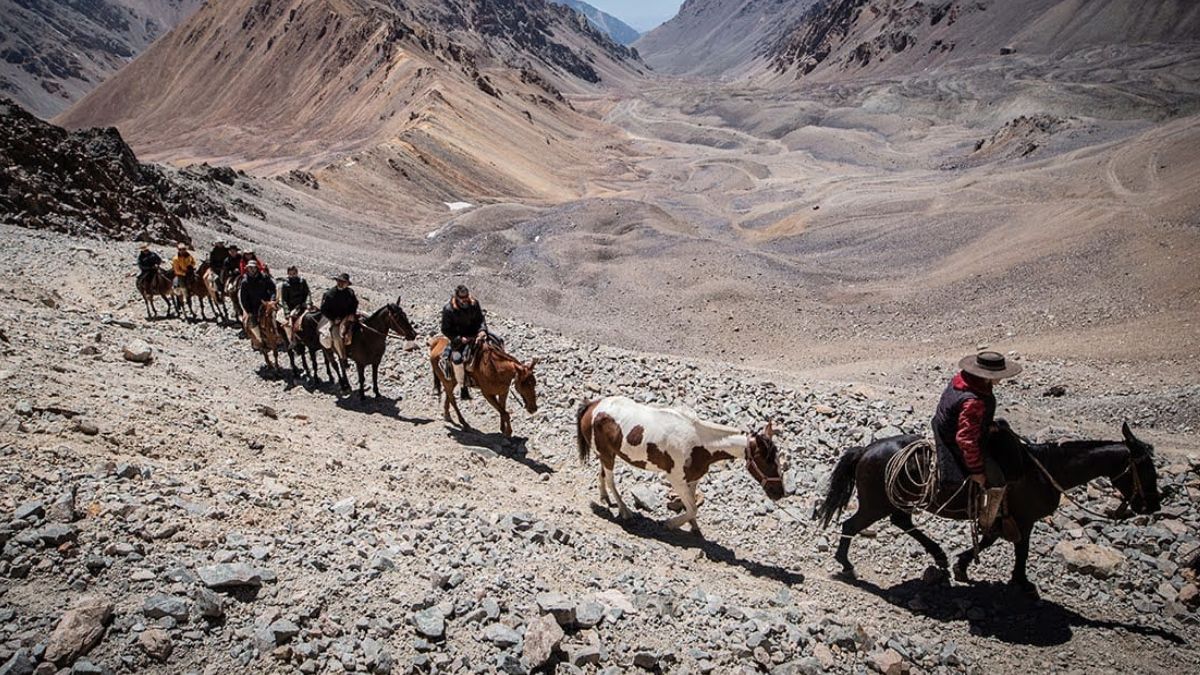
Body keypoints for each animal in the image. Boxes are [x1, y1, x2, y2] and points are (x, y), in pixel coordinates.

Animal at [573, 393, 782, 530]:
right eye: (767, 462)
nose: (779, 492)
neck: (700, 444)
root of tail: (593, 405)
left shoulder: (692, 478)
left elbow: (692, 506)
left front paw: (693, 527)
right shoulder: (675, 480)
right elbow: (692, 509)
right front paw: (670, 524)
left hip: (606, 453)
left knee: (602, 474)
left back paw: (605, 498)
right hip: (607, 455)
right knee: (610, 480)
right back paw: (625, 511)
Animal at [816, 417, 1161, 595]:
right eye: (1145, 468)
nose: (1153, 506)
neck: (1045, 469)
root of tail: (865, 450)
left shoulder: (1004, 514)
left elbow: (992, 539)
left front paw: (962, 565)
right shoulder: (1023, 517)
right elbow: (1019, 548)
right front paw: (1021, 581)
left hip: (895, 501)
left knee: (901, 522)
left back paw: (939, 556)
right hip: (876, 503)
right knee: (853, 525)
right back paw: (847, 564)